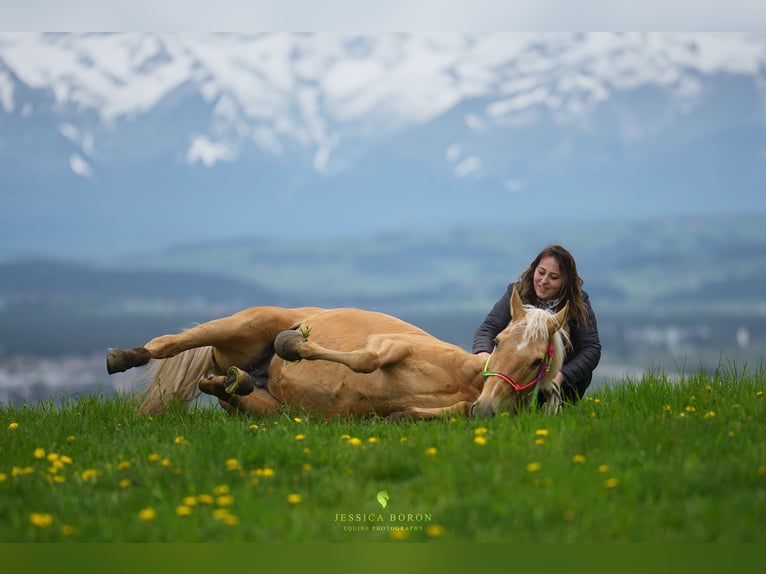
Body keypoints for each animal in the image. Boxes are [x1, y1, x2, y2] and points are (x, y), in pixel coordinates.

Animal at [105, 286, 568, 418]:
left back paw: (233, 381)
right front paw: (293, 345)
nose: (487, 409)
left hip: (273, 410)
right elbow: (368, 360)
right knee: (170, 343)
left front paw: (397, 417)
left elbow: (439, 413)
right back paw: (125, 356)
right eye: (499, 341)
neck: (467, 378)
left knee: (218, 386)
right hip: (247, 323)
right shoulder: (392, 344)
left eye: (534, 361)